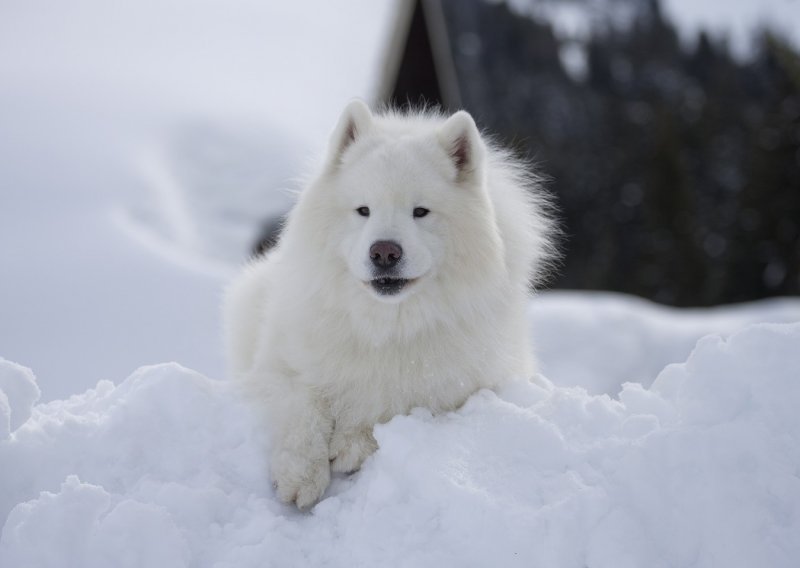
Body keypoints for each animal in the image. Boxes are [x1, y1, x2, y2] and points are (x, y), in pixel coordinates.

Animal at [222, 100, 552, 508]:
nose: (384, 252)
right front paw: (299, 473)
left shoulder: (448, 394)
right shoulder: (278, 368)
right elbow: (304, 404)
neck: (386, 326)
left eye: (420, 212)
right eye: (363, 210)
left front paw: (351, 442)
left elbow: (389, 407)